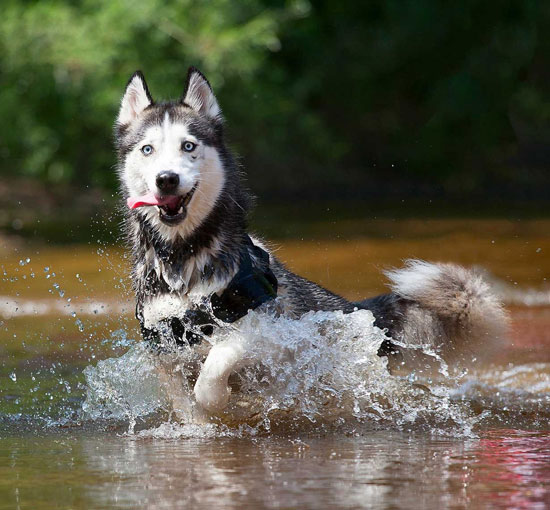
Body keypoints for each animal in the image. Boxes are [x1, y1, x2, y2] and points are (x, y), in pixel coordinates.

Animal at [115, 66, 508, 414]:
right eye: (148, 149)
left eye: (188, 146)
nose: (166, 179)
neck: (183, 258)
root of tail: (361, 312)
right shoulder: (165, 355)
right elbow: (189, 405)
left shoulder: (262, 331)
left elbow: (211, 378)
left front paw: (228, 401)